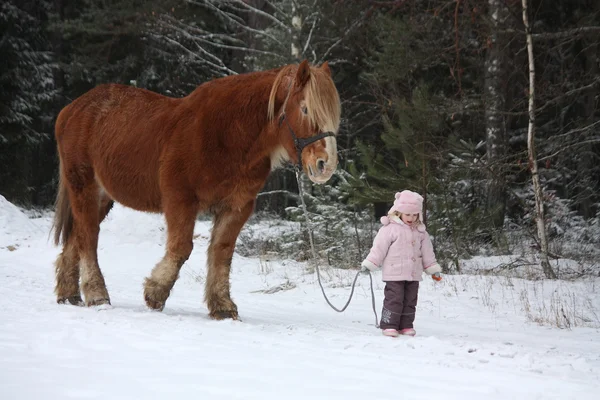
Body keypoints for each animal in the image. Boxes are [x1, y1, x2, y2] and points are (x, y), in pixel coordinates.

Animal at [50, 60, 342, 318]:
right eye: (305, 109)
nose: (325, 165)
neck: (228, 136)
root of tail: (71, 109)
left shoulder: (236, 207)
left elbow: (222, 253)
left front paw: (222, 305)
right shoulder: (180, 200)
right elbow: (181, 248)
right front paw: (155, 293)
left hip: (102, 197)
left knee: (78, 236)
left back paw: (69, 293)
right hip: (84, 187)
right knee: (88, 237)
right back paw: (96, 294)